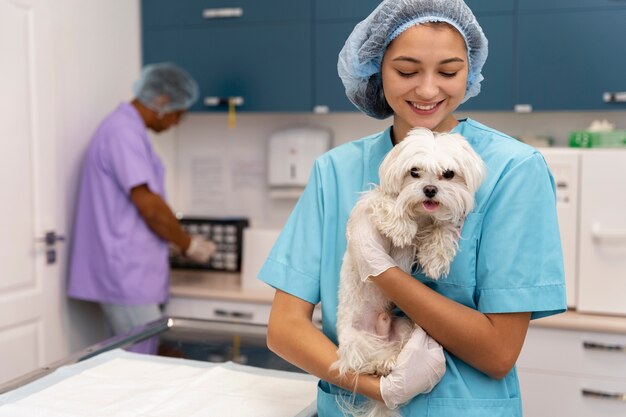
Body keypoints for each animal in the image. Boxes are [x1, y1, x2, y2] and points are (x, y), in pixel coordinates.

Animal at [332, 127, 482, 416]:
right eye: (414, 172)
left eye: (449, 174)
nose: (430, 189)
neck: (421, 213)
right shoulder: (371, 202)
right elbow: (387, 204)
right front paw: (402, 228)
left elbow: (442, 227)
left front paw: (435, 256)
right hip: (356, 341)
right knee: (361, 364)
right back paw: (381, 365)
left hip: (405, 327)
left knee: (398, 349)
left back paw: (394, 361)